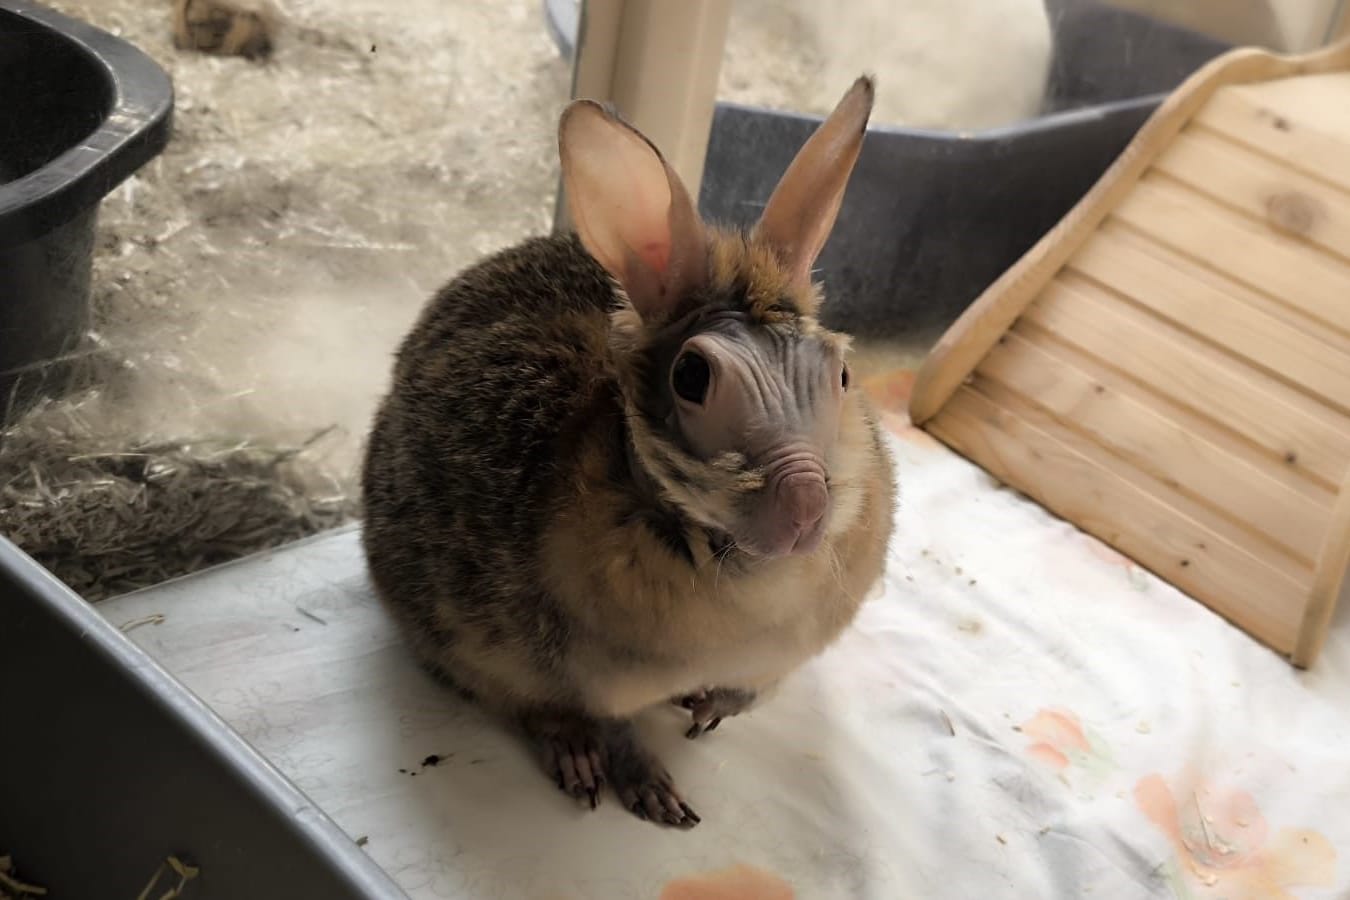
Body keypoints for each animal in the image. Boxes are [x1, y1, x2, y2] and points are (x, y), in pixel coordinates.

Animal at [361, 77, 896, 831]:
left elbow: (745, 694)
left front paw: (705, 711)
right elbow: (613, 727)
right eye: (692, 377)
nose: (805, 508)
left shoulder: (778, 660)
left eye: (841, 373)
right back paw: (575, 760)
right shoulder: (594, 677)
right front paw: (655, 795)